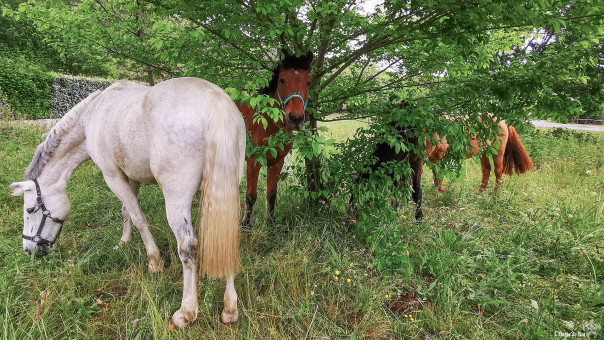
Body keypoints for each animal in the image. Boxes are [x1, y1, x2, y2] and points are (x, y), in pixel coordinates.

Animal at [9, 77, 245, 330]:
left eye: (29, 209)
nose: (29, 250)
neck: (92, 116)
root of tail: (215, 101)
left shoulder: (112, 177)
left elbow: (138, 217)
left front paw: (154, 262)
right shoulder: (130, 177)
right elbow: (126, 212)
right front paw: (124, 241)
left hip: (176, 197)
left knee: (188, 247)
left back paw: (186, 312)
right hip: (225, 192)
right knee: (227, 239)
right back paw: (230, 309)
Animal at [237, 50, 314, 227]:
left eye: (308, 82)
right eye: (282, 79)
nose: (295, 119)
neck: (267, 121)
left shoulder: (277, 161)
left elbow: (271, 194)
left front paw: (271, 223)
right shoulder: (254, 160)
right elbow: (251, 195)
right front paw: (246, 225)